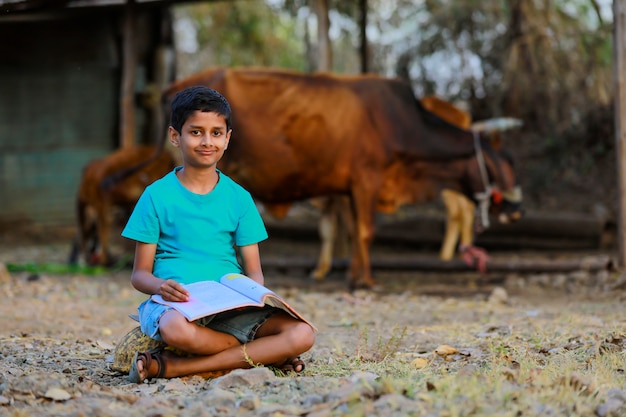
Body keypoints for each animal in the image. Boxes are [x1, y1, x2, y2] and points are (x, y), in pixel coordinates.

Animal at [163, 68, 520, 290]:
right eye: (499, 165)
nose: (516, 210)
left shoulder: (348, 189)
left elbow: (350, 230)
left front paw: (353, 275)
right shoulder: (367, 179)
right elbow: (364, 231)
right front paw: (367, 281)